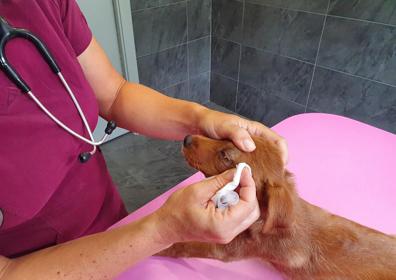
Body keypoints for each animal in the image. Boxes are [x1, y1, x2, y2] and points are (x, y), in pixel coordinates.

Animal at [159, 136, 396, 280]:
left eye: (225, 156)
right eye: (224, 138)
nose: (187, 138)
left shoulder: (229, 247)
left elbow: (187, 245)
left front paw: (164, 244)